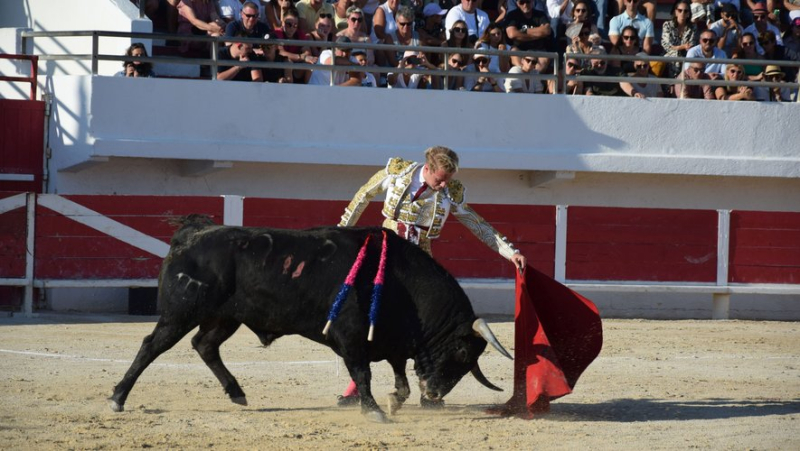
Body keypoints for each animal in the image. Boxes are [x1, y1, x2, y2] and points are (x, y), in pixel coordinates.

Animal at [109, 217, 512, 422]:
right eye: (463, 354)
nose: (435, 394)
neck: (399, 280)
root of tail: (190, 235)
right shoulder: (352, 337)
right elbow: (363, 373)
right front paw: (375, 411)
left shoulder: (390, 340)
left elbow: (398, 375)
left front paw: (395, 400)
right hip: (180, 313)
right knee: (151, 347)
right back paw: (117, 398)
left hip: (225, 318)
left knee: (204, 345)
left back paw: (237, 392)